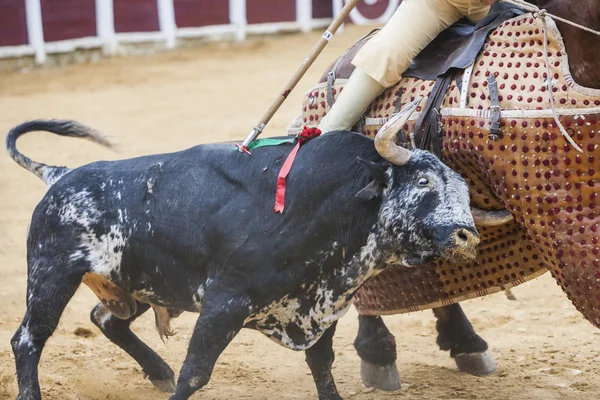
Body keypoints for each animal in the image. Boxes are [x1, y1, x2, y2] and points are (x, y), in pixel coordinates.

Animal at [5, 119, 478, 400]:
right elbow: (196, 372)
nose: (467, 233)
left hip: (136, 283)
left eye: (464, 188)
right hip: (52, 274)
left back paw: (157, 371)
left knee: (106, 320)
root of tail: (61, 175)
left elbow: (322, 366)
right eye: (423, 181)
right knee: (28, 339)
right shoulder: (225, 303)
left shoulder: (322, 305)